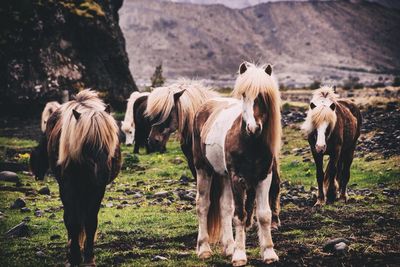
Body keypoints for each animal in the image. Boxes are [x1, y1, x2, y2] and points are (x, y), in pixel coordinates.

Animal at [29, 91, 121, 266]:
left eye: (109, 140)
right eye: (87, 143)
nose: (103, 174)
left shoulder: (97, 189)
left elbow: (90, 222)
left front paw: (89, 258)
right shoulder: (68, 187)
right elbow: (73, 221)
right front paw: (74, 257)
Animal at [193, 62, 282, 266]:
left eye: (263, 96)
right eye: (243, 94)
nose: (253, 128)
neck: (249, 142)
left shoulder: (264, 177)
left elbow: (264, 215)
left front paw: (269, 252)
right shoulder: (237, 178)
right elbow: (240, 216)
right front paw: (240, 255)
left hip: (224, 175)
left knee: (225, 207)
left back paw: (228, 247)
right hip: (204, 170)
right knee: (203, 204)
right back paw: (204, 249)